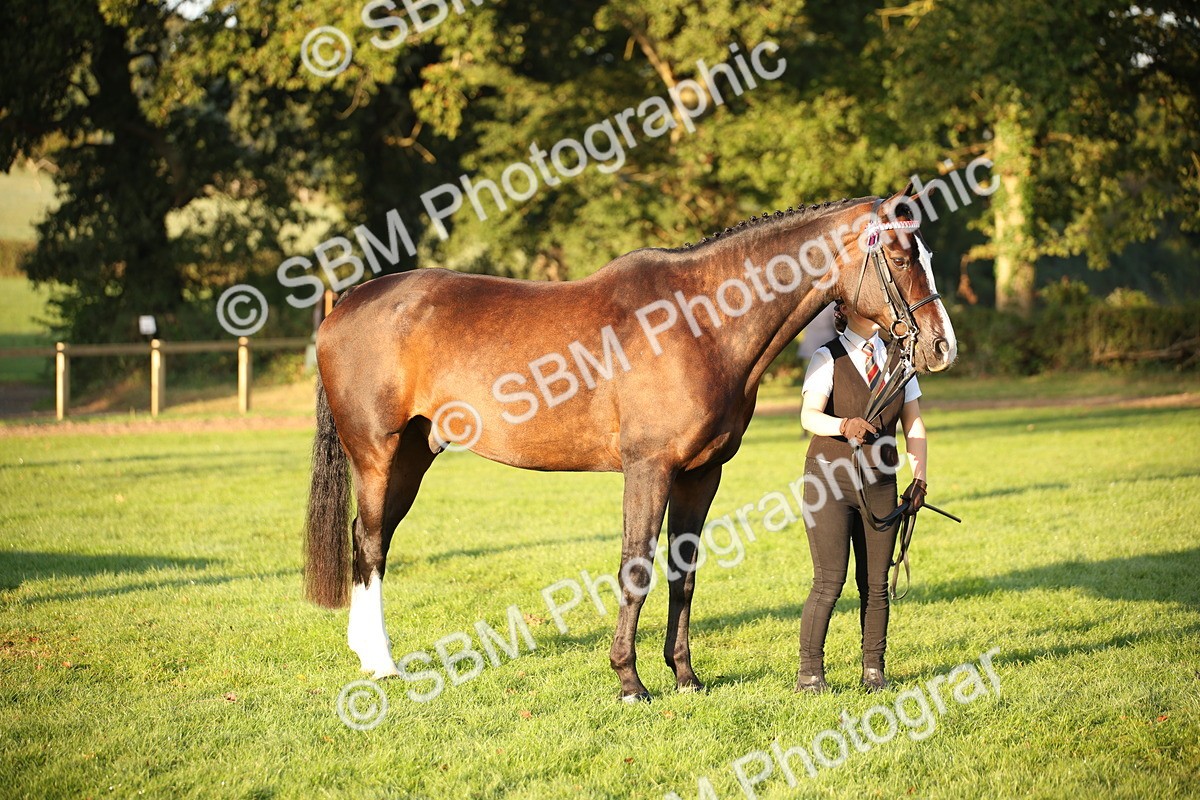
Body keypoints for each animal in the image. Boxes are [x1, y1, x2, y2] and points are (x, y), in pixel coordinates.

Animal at [304, 187, 957, 702]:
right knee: (370, 541)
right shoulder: (649, 469)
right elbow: (636, 568)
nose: (940, 347)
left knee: (371, 541)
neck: (698, 321)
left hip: (413, 456)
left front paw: (685, 677)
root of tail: (348, 304)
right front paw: (629, 681)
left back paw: (367, 654)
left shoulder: (701, 473)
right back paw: (382, 663)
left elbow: (683, 571)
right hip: (378, 454)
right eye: (901, 256)